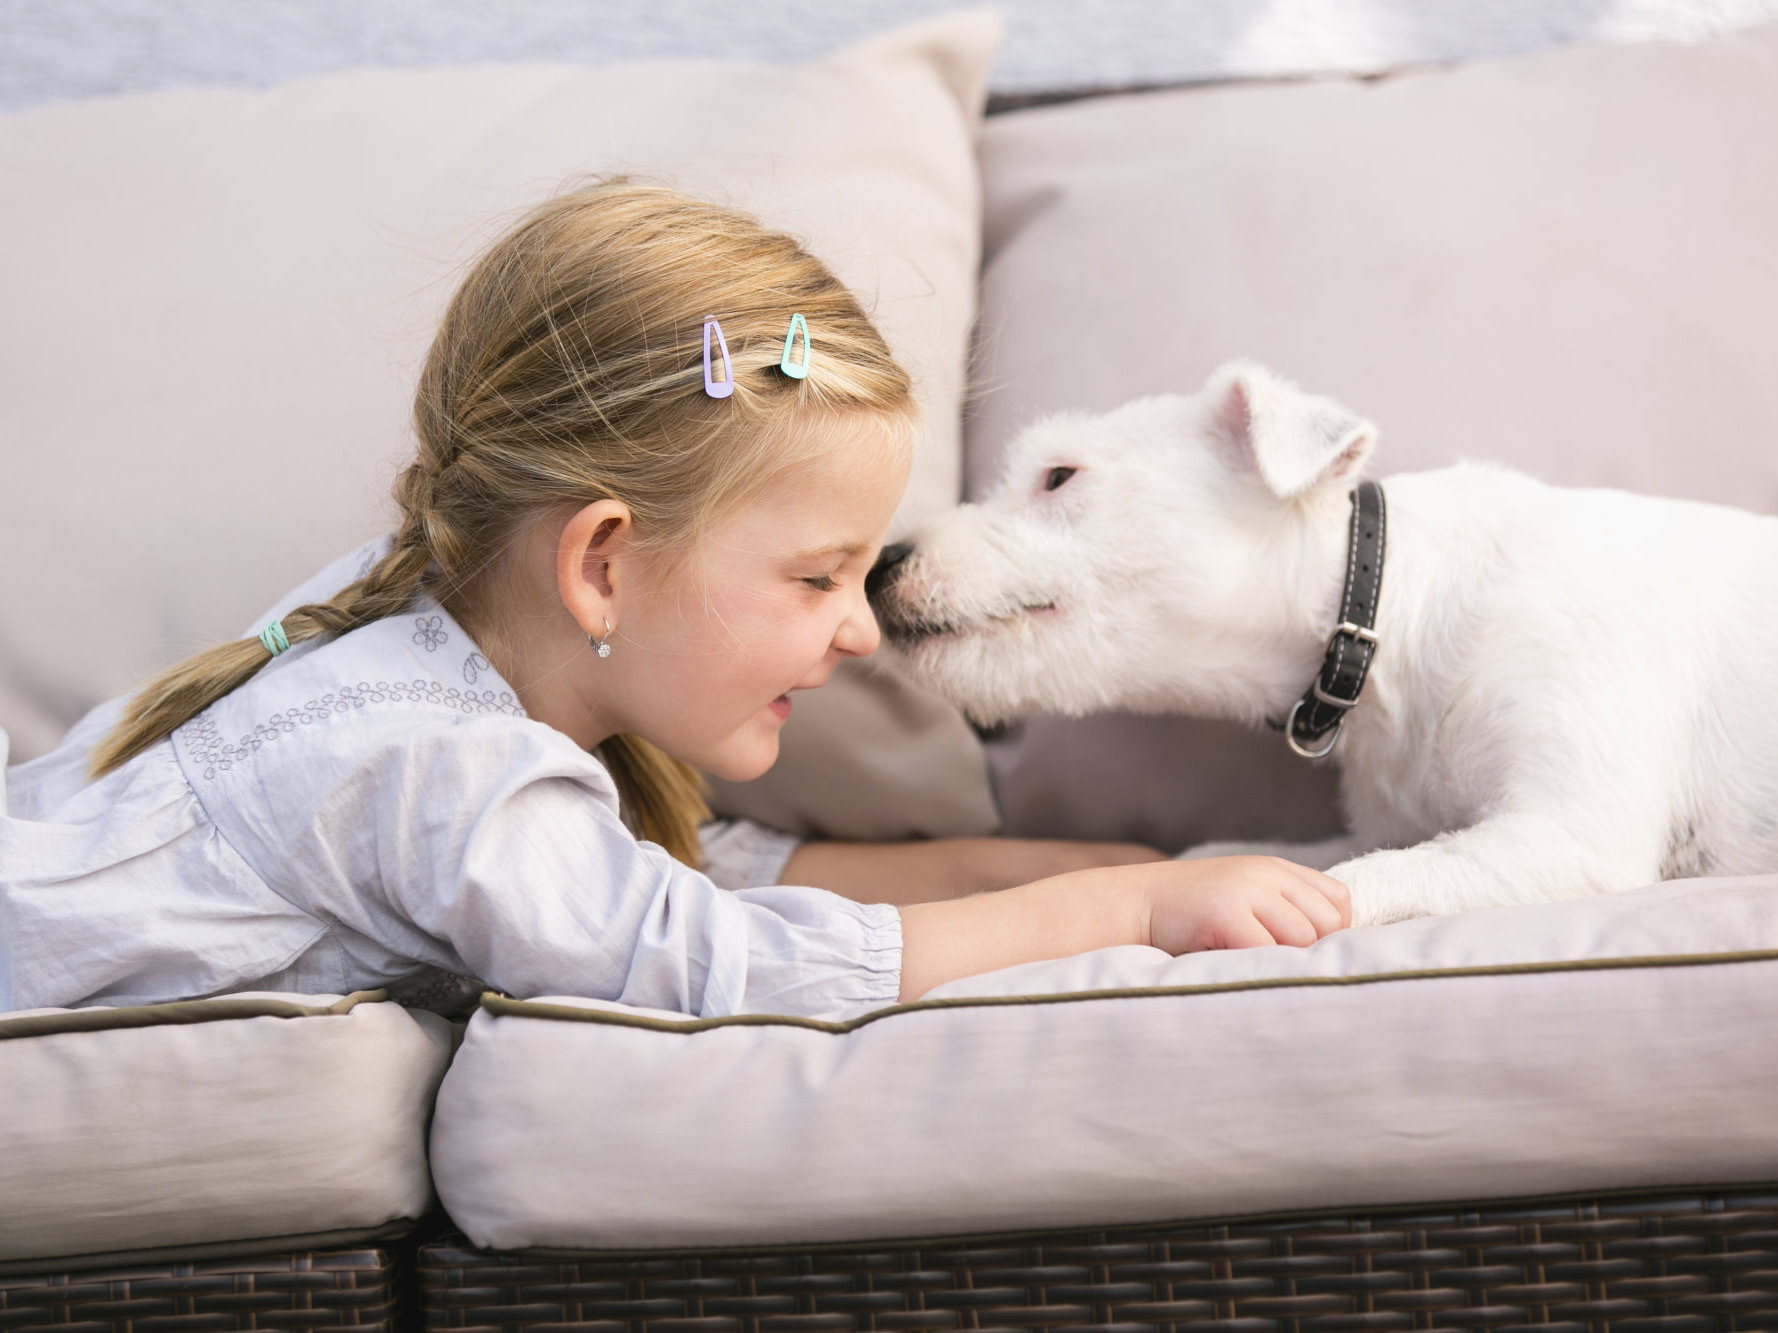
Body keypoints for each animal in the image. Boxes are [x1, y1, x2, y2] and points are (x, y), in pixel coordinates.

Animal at [867, 361, 1778, 926]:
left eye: (1059, 475)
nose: (879, 565)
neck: (1391, 602)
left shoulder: (1569, 834)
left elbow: (1358, 882)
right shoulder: (1386, 824)